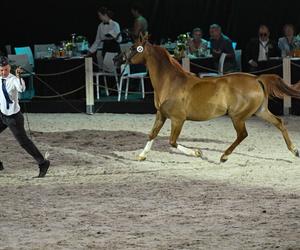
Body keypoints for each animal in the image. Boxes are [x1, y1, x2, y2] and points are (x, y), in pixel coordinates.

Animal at [115, 36, 300, 163]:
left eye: (133, 48)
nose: (116, 59)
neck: (170, 82)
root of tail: (257, 78)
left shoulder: (177, 119)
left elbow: (172, 141)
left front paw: (197, 153)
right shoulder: (161, 114)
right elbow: (152, 134)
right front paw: (141, 155)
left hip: (237, 116)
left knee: (243, 134)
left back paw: (224, 156)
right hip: (260, 111)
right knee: (279, 123)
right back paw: (294, 150)